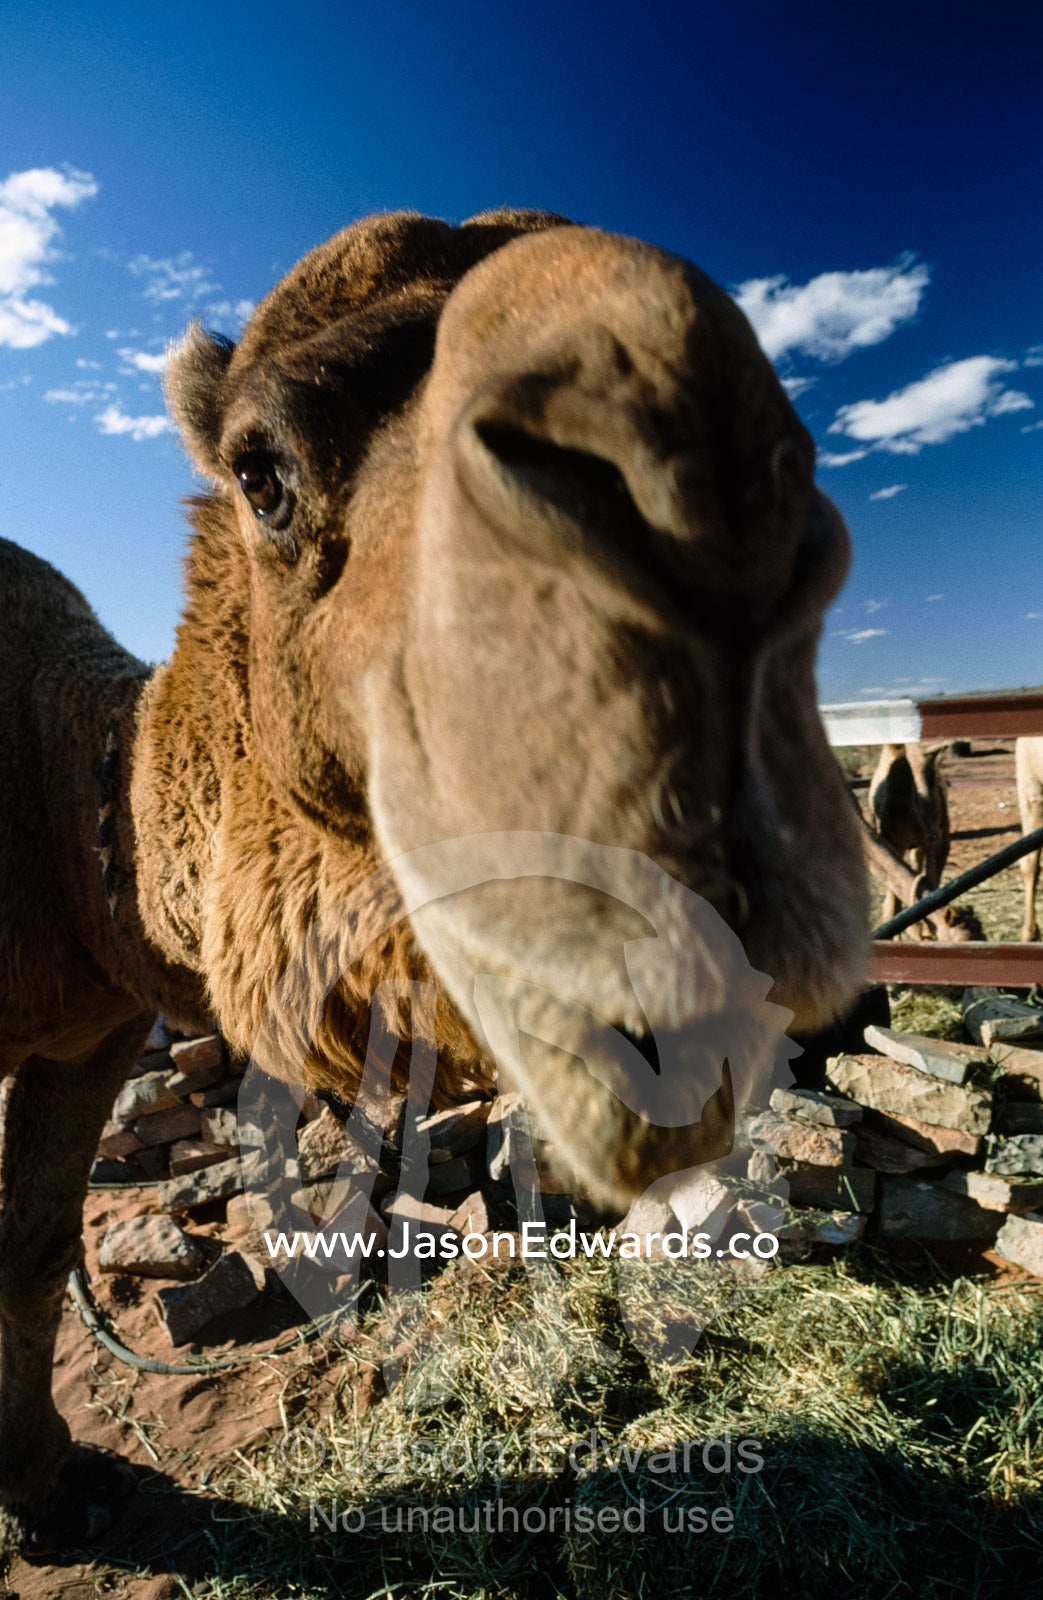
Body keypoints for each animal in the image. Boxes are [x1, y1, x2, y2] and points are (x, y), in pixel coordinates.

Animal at [0, 208, 869, 1544]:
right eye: (259, 471)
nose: (716, 494)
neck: (64, 810)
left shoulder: (88, 1030)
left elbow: (37, 1242)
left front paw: (48, 1485)